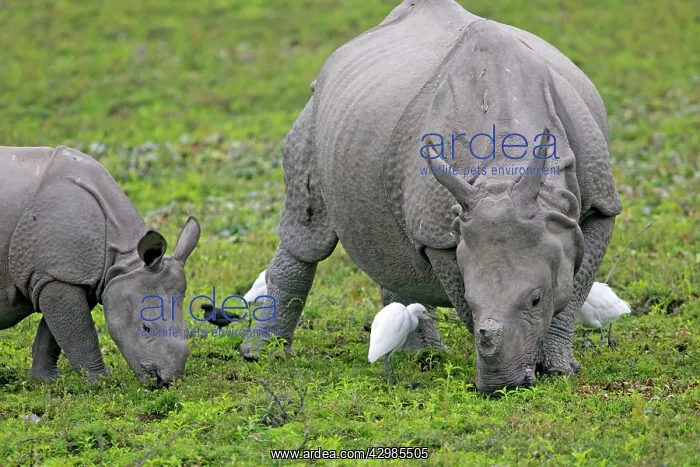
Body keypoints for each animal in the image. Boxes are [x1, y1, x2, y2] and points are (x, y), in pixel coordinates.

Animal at [0, 145, 201, 387]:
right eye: (145, 328)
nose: (165, 381)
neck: (123, 259)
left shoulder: (68, 275)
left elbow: (53, 333)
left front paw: (45, 382)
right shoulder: (55, 274)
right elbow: (80, 333)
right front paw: (100, 382)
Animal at [239, 0, 622, 393]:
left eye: (536, 299)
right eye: (469, 297)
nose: (500, 388)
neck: (505, 174)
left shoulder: (598, 206)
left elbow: (574, 290)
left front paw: (559, 370)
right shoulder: (440, 230)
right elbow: (464, 295)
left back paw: (422, 355)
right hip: (314, 113)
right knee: (308, 235)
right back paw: (263, 357)